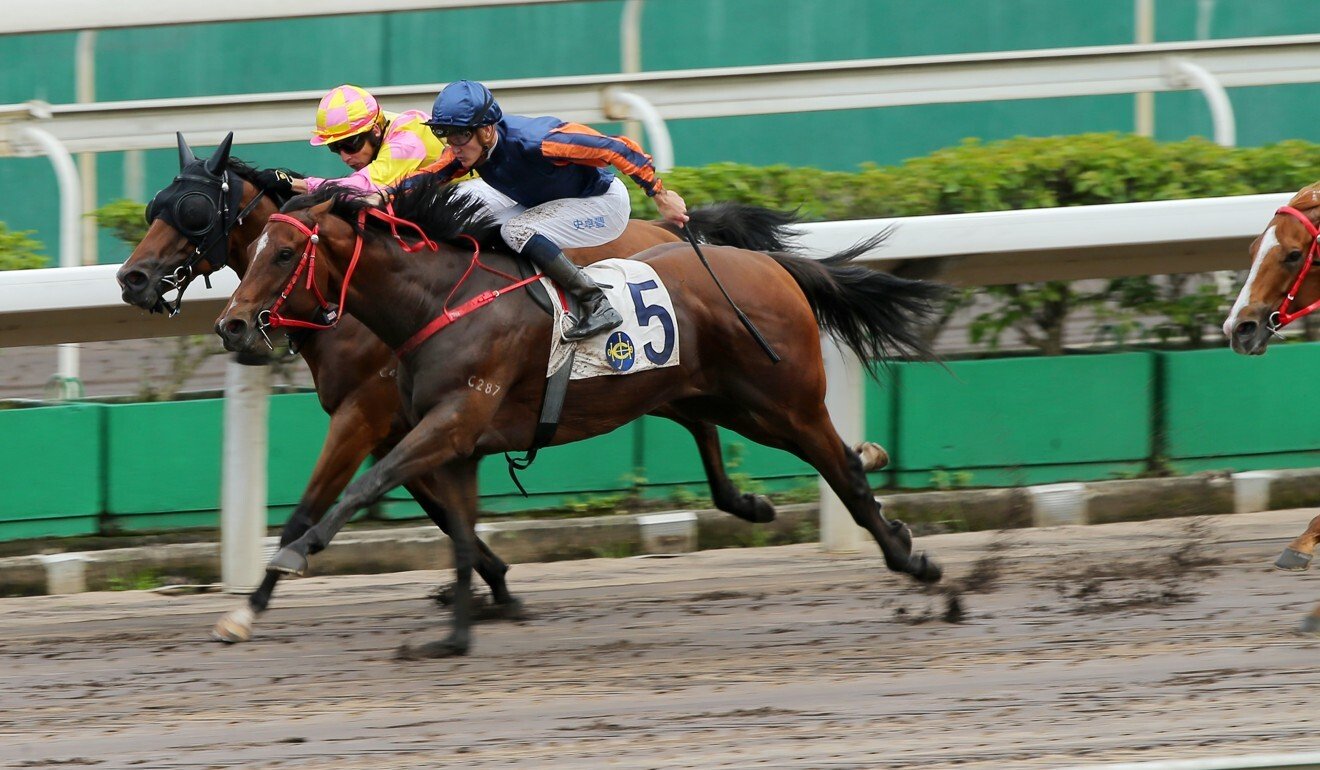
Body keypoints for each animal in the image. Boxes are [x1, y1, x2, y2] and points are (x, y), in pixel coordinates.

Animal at [118, 132, 850, 644]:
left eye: (191, 211)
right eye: (153, 206)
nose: (131, 278)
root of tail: (676, 231)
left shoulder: (368, 414)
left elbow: (316, 505)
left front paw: (255, 602)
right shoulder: (406, 420)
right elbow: (438, 507)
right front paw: (488, 584)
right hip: (665, 378)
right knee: (701, 421)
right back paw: (752, 500)